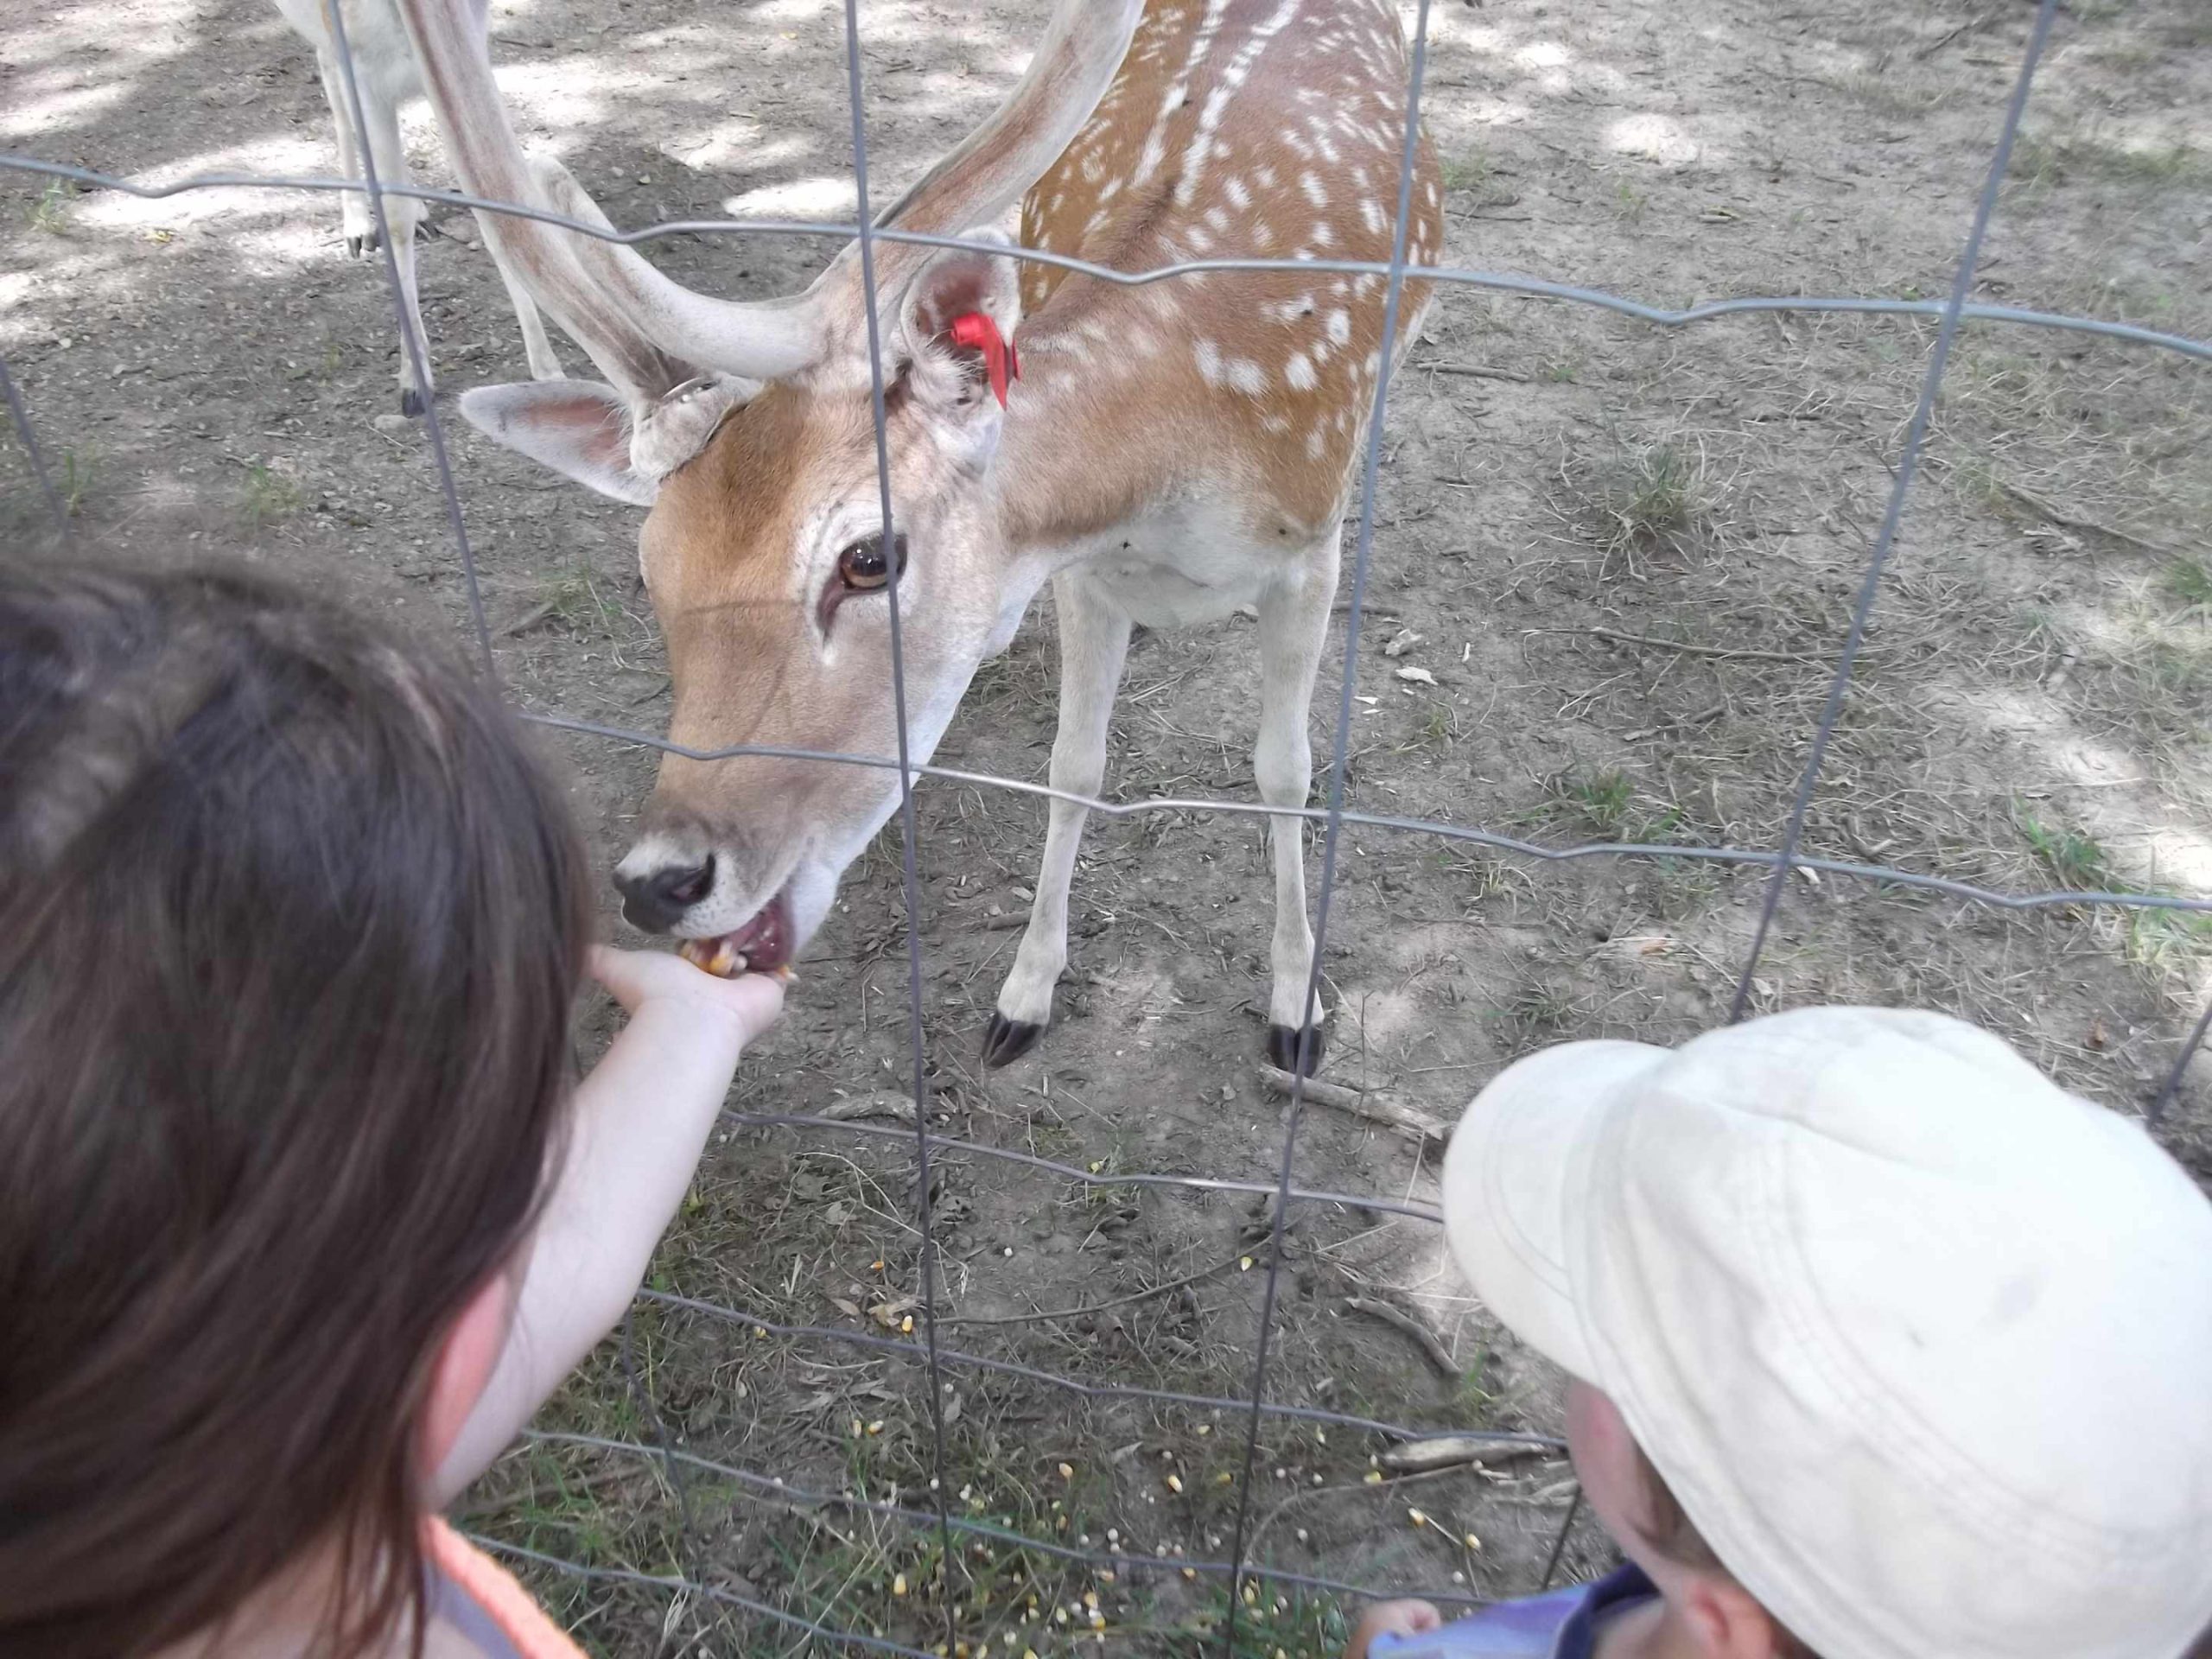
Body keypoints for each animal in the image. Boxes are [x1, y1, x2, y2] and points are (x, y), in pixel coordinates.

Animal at [271, 0, 565, 413]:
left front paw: (547, 368)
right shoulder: (363, 71)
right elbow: (394, 218)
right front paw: (414, 381)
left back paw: (421, 213)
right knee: (329, 74)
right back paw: (357, 226)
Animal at [391, 0, 1442, 1074]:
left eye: (867, 558)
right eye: (653, 571)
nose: (659, 881)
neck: (1176, 469)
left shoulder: (1305, 555)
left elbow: (1285, 773)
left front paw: (1295, 1010)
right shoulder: (1087, 576)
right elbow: (1073, 768)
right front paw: (1023, 995)